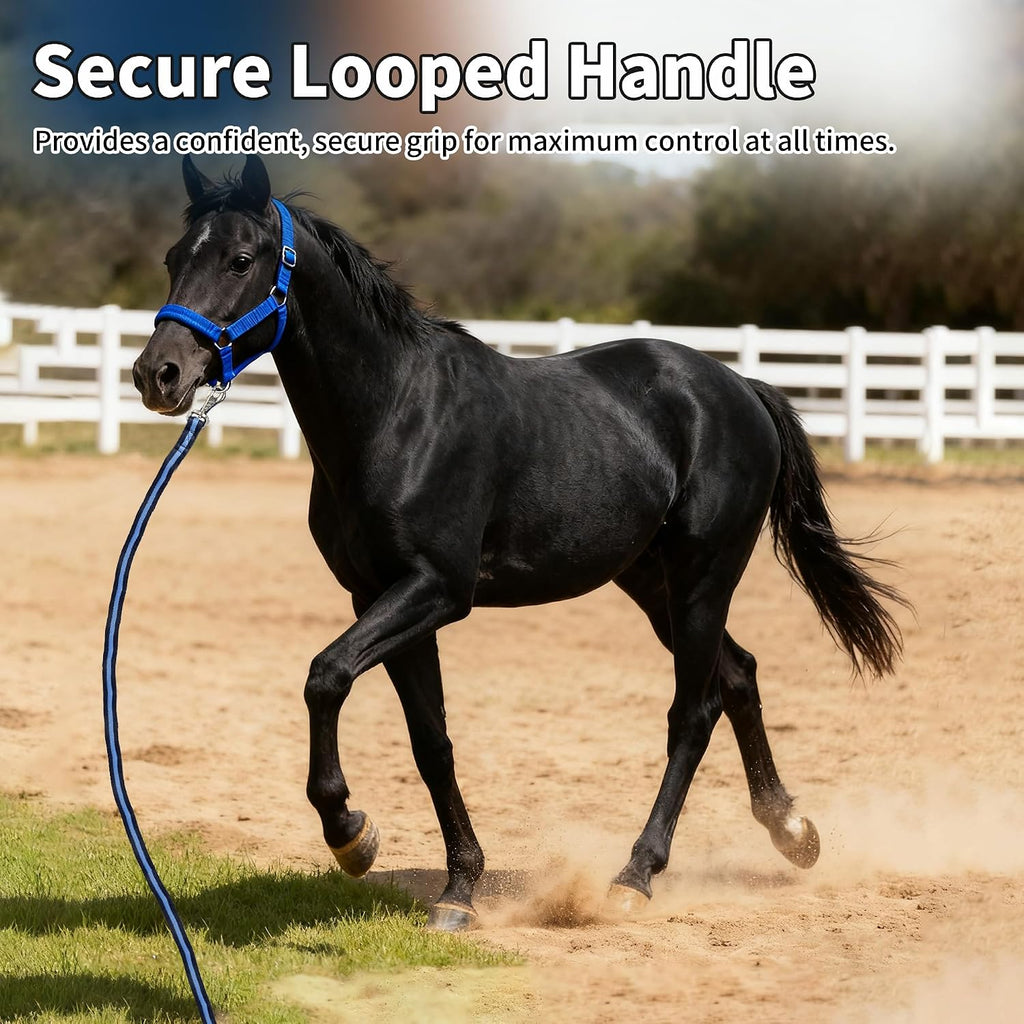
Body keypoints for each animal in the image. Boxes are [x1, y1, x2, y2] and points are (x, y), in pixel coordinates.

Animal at [133, 155, 907, 931]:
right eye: (171, 258)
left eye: (240, 260)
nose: (157, 374)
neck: (395, 414)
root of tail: (741, 386)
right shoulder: (379, 596)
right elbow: (430, 742)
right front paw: (457, 889)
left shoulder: (437, 590)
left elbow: (326, 676)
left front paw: (352, 834)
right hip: (651, 581)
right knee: (739, 675)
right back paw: (792, 831)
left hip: (702, 578)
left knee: (694, 710)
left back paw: (635, 875)